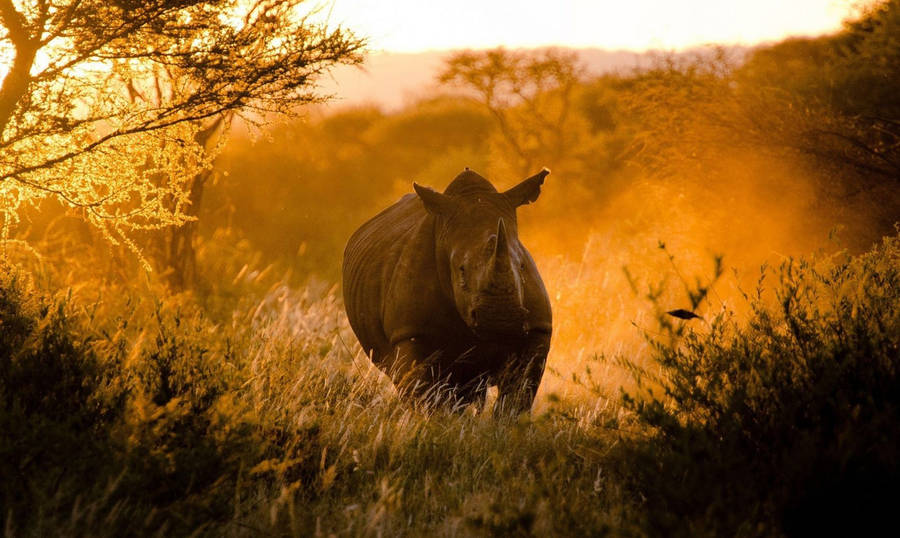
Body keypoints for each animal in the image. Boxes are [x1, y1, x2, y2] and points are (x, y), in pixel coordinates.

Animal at [342, 168, 552, 415]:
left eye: (521, 267)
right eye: (460, 270)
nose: (501, 320)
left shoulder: (537, 330)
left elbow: (518, 397)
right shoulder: (410, 332)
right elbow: (425, 394)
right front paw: (433, 422)